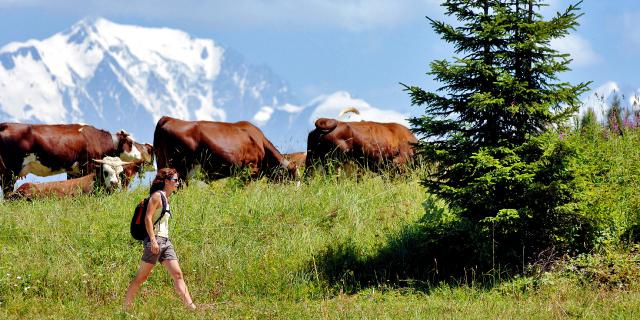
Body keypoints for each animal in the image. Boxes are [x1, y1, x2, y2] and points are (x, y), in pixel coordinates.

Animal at [0, 122, 151, 198]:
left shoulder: (74, 170)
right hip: (9, 171)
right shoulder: (88, 164)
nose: (141, 155)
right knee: (7, 192)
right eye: (130, 142)